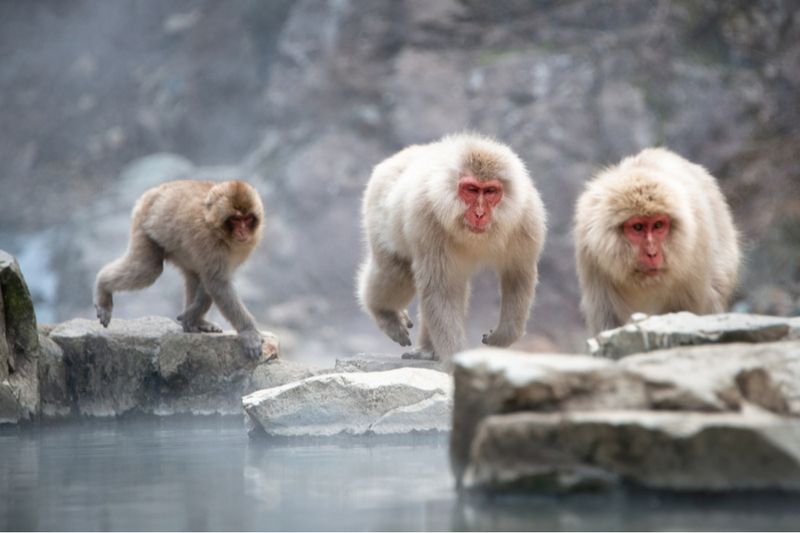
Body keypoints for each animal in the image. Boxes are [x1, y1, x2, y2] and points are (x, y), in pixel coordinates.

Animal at [95, 179, 266, 358]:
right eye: (235, 220)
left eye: (248, 219)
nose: (243, 232)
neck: (217, 229)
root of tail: (153, 191)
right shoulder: (207, 240)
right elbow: (216, 282)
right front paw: (249, 332)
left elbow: (210, 281)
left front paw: (191, 315)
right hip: (144, 225)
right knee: (148, 269)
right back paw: (103, 288)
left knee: (193, 274)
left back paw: (198, 321)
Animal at [360, 134, 548, 366]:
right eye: (471, 190)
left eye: (490, 191)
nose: (479, 214)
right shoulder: (427, 218)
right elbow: (440, 289)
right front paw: (455, 362)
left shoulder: (526, 219)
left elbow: (518, 274)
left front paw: (503, 335)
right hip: (379, 216)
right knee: (396, 272)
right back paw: (384, 313)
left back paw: (427, 348)